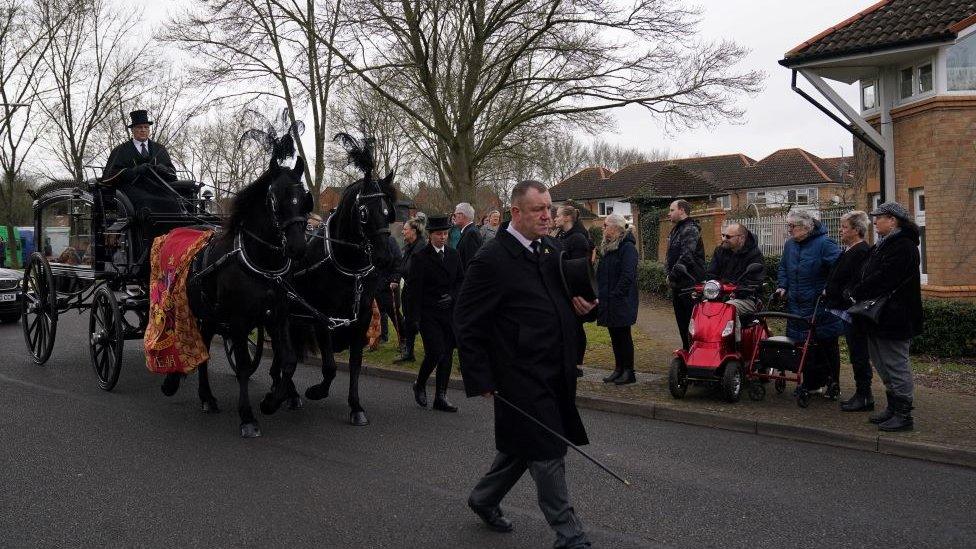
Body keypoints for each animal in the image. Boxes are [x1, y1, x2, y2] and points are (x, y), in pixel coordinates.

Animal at [161, 149, 308, 436]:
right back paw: (182, 385)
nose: (298, 247)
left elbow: (288, 360)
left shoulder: (278, 316)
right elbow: (242, 368)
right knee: (188, 343)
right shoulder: (239, 322)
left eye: (304, 197)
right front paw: (247, 416)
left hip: (208, 316)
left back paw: (206, 397)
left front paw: (271, 401)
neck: (261, 263)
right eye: (274, 198)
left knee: (204, 348)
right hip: (190, 309)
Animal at [286, 135, 396, 426]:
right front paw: (317, 391)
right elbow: (330, 366)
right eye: (364, 212)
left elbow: (355, 365)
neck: (348, 265)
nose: (385, 257)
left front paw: (356, 407)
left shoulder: (362, 317)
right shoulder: (324, 317)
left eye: (388, 211)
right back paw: (290, 394)